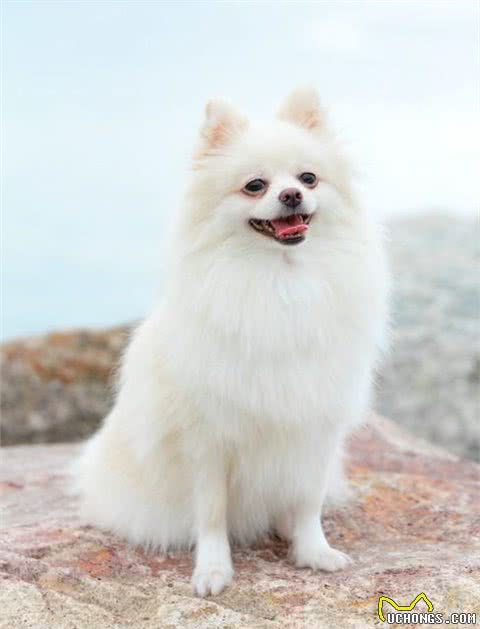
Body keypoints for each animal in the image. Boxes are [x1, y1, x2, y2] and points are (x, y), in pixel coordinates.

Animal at [74, 87, 389, 597]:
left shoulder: (314, 427)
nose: (291, 194)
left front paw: (313, 552)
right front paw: (213, 570)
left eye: (309, 178)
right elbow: (212, 513)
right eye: (255, 186)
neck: (280, 281)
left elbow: (308, 501)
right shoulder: (208, 438)